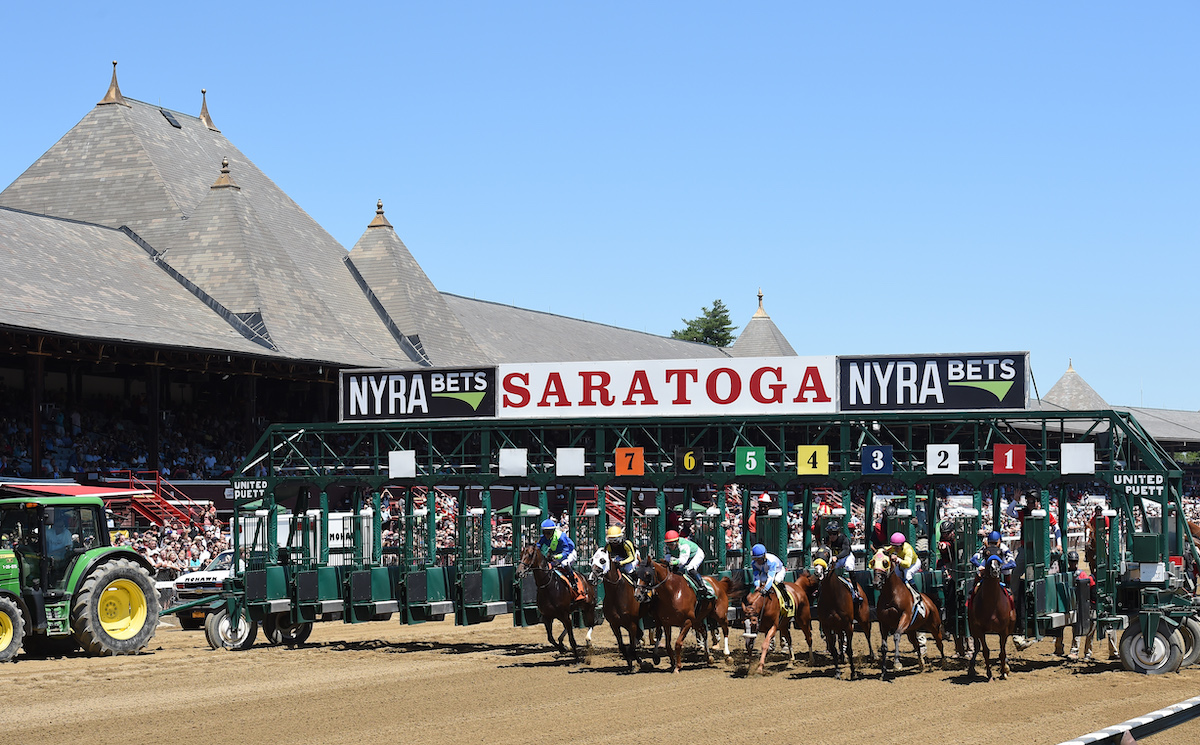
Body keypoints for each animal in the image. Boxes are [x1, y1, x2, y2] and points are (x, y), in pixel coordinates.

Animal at [964, 551, 1012, 681]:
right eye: (986, 554)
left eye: (1000, 555)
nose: (995, 569)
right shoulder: (979, 629)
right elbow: (985, 650)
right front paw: (989, 674)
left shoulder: (1004, 630)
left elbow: (1002, 652)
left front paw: (1004, 671)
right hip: (972, 627)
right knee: (977, 646)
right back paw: (971, 668)